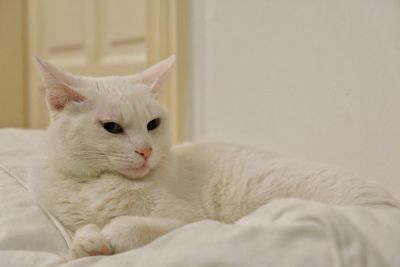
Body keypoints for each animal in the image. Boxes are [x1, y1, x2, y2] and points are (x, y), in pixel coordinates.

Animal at [32, 56, 400, 260]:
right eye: (111, 127)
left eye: (153, 124)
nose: (146, 150)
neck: (99, 182)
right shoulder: (69, 217)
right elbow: (81, 230)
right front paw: (86, 243)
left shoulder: (188, 220)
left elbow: (131, 224)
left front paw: (108, 237)